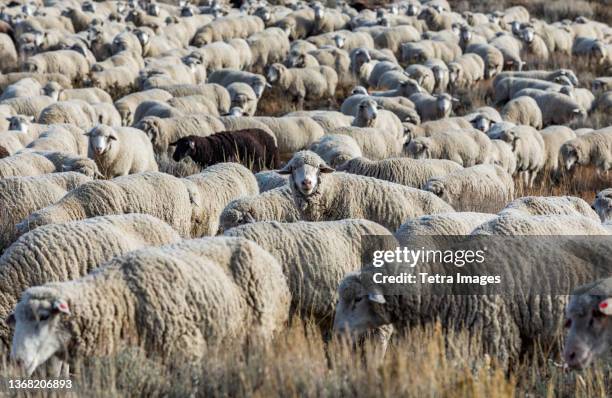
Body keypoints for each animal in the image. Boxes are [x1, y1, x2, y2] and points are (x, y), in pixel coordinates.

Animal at [7, 236, 290, 376]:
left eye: (44, 316)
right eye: (16, 321)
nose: (17, 361)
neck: (122, 295)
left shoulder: (186, 350)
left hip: (261, 333)